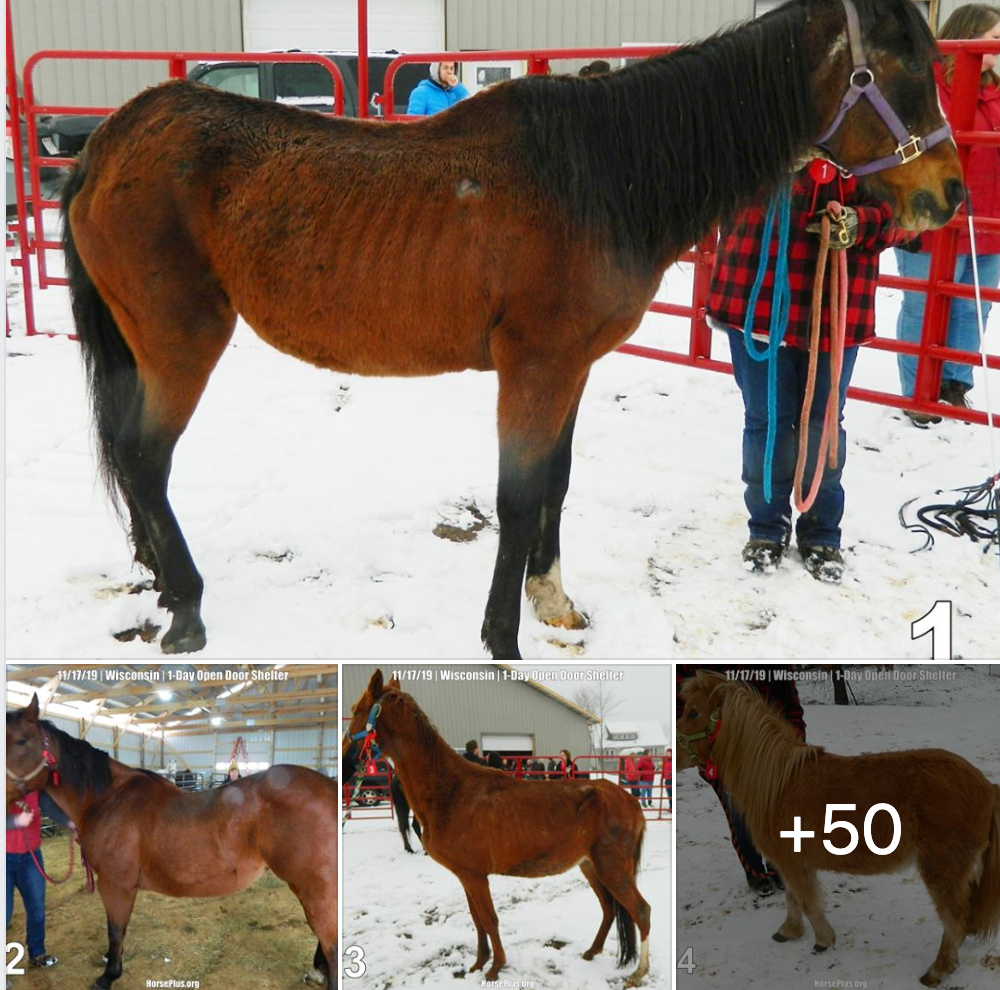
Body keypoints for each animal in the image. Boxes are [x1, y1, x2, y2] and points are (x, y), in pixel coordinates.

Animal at [5, 695, 338, 990]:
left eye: (21, 740)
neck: (107, 799)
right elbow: (118, 933)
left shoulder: (115, 884)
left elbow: (115, 930)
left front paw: (108, 976)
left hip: (313, 887)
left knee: (331, 944)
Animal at [61, 0, 963, 659]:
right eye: (900, 65)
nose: (949, 194)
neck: (602, 173)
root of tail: (111, 140)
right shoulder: (536, 366)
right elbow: (520, 496)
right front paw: (502, 641)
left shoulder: (572, 367)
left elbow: (554, 484)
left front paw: (553, 602)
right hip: (181, 341)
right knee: (145, 458)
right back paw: (186, 611)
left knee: (135, 460)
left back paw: (159, 578)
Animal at [345, 670, 651, 986]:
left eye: (355, 710)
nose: (347, 762)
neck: (451, 791)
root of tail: (629, 801)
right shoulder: (467, 876)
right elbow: (477, 920)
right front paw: (479, 963)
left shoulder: (476, 877)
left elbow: (489, 920)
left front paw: (495, 967)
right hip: (590, 866)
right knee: (609, 908)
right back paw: (592, 951)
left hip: (611, 867)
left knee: (641, 911)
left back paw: (638, 972)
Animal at [678, 670, 1000, 988]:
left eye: (693, 711)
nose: (671, 753)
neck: (779, 784)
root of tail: (986, 787)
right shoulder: (790, 862)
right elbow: (793, 898)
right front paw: (789, 930)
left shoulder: (792, 863)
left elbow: (807, 902)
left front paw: (823, 939)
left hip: (941, 871)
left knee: (954, 919)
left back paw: (937, 970)